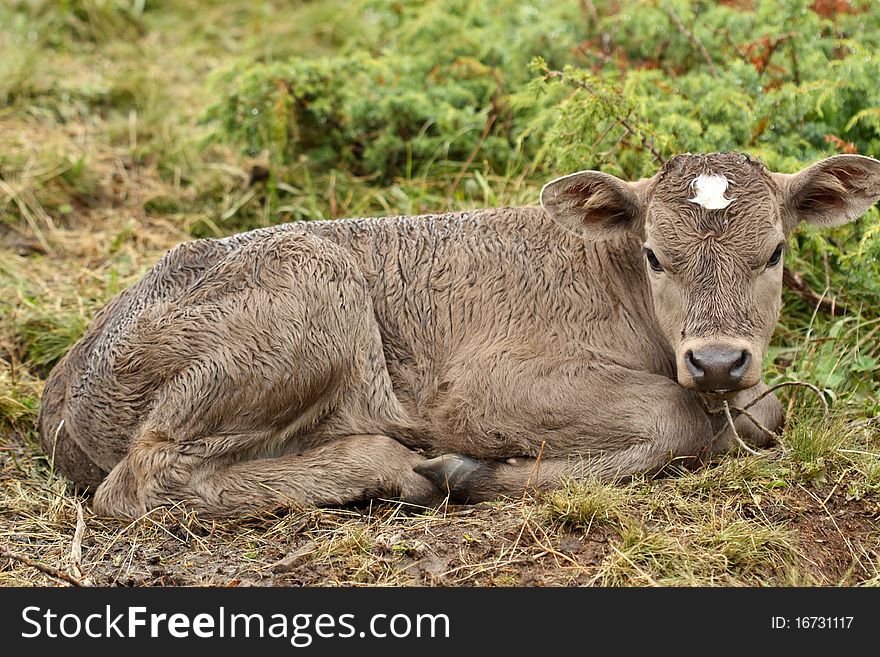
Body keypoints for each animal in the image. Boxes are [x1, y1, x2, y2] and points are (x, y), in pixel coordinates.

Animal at [37, 151, 876, 516]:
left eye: (775, 250)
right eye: (654, 254)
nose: (717, 358)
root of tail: (66, 379)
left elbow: (764, 409)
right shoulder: (474, 388)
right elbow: (673, 415)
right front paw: (472, 471)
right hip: (309, 300)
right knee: (142, 480)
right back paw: (391, 468)